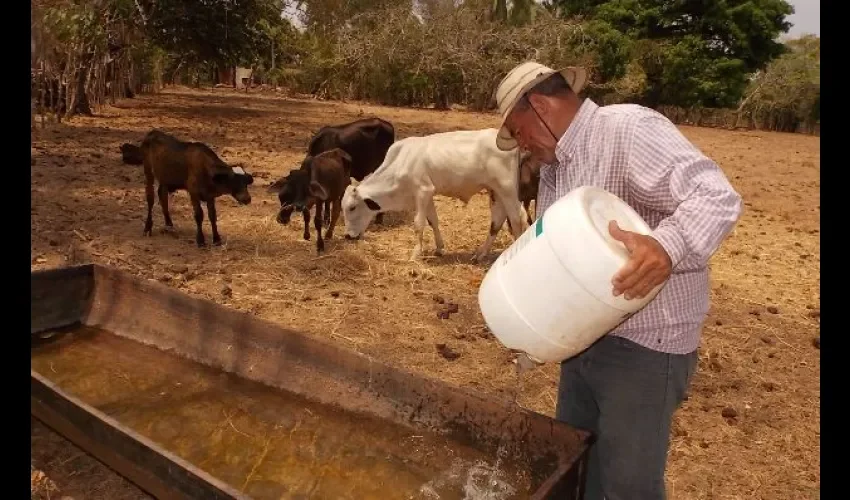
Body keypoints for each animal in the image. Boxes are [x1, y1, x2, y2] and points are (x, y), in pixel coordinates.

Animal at [340, 127, 528, 262]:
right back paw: (480, 254)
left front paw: (416, 253)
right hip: (495, 191)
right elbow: (433, 221)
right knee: (497, 220)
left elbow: (419, 224)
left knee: (517, 218)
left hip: (507, 189)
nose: (348, 236)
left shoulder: (423, 191)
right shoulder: (428, 194)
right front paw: (439, 248)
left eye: (352, 207)